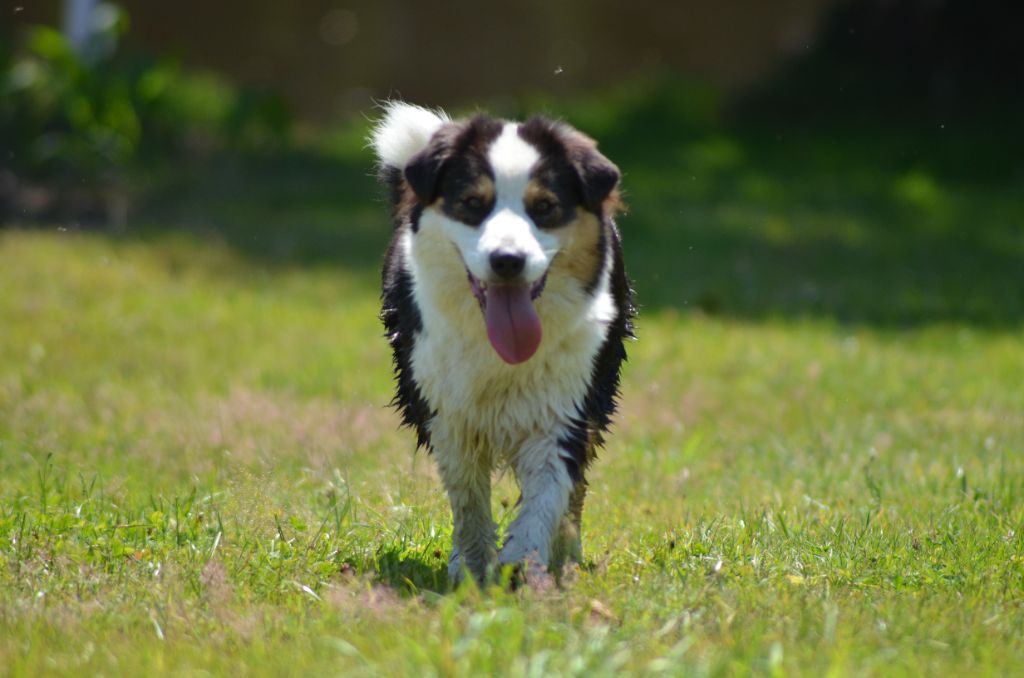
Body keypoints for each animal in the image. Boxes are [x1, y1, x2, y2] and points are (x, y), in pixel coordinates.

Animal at [372, 103, 630, 585]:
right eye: (473, 204)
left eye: (544, 207)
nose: (507, 260)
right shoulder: (446, 412)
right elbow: (469, 500)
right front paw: (471, 569)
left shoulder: (565, 408)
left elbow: (548, 493)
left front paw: (524, 564)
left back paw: (567, 553)